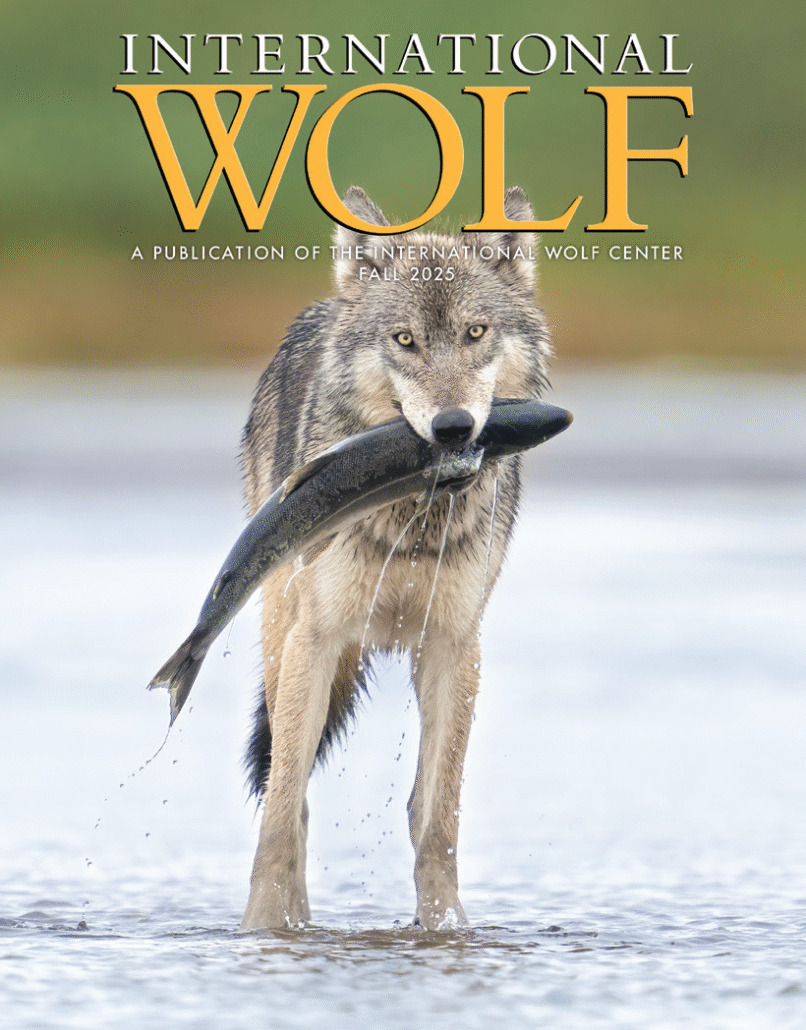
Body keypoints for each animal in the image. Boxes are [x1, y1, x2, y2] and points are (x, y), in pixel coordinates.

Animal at [239, 186, 551, 931]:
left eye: (475, 333)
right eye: (405, 340)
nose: (453, 428)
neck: (415, 514)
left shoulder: (453, 645)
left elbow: (436, 819)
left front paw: (445, 930)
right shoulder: (318, 637)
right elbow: (282, 813)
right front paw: (264, 932)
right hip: (282, 640)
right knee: (289, 792)